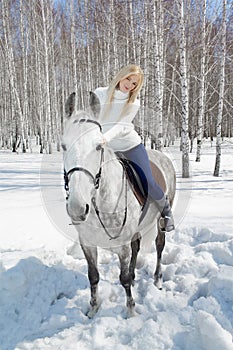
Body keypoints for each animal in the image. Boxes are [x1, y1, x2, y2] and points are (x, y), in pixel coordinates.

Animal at [61, 92, 176, 318]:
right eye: (63, 146)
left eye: (98, 146)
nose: (77, 208)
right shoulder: (87, 243)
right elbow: (93, 275)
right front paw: (93, 309)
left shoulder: (121, 246)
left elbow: (122, 279)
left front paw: (130, 311)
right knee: (137, 245)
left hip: (161, 220)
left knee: (159, 245)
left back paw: (157, 280)